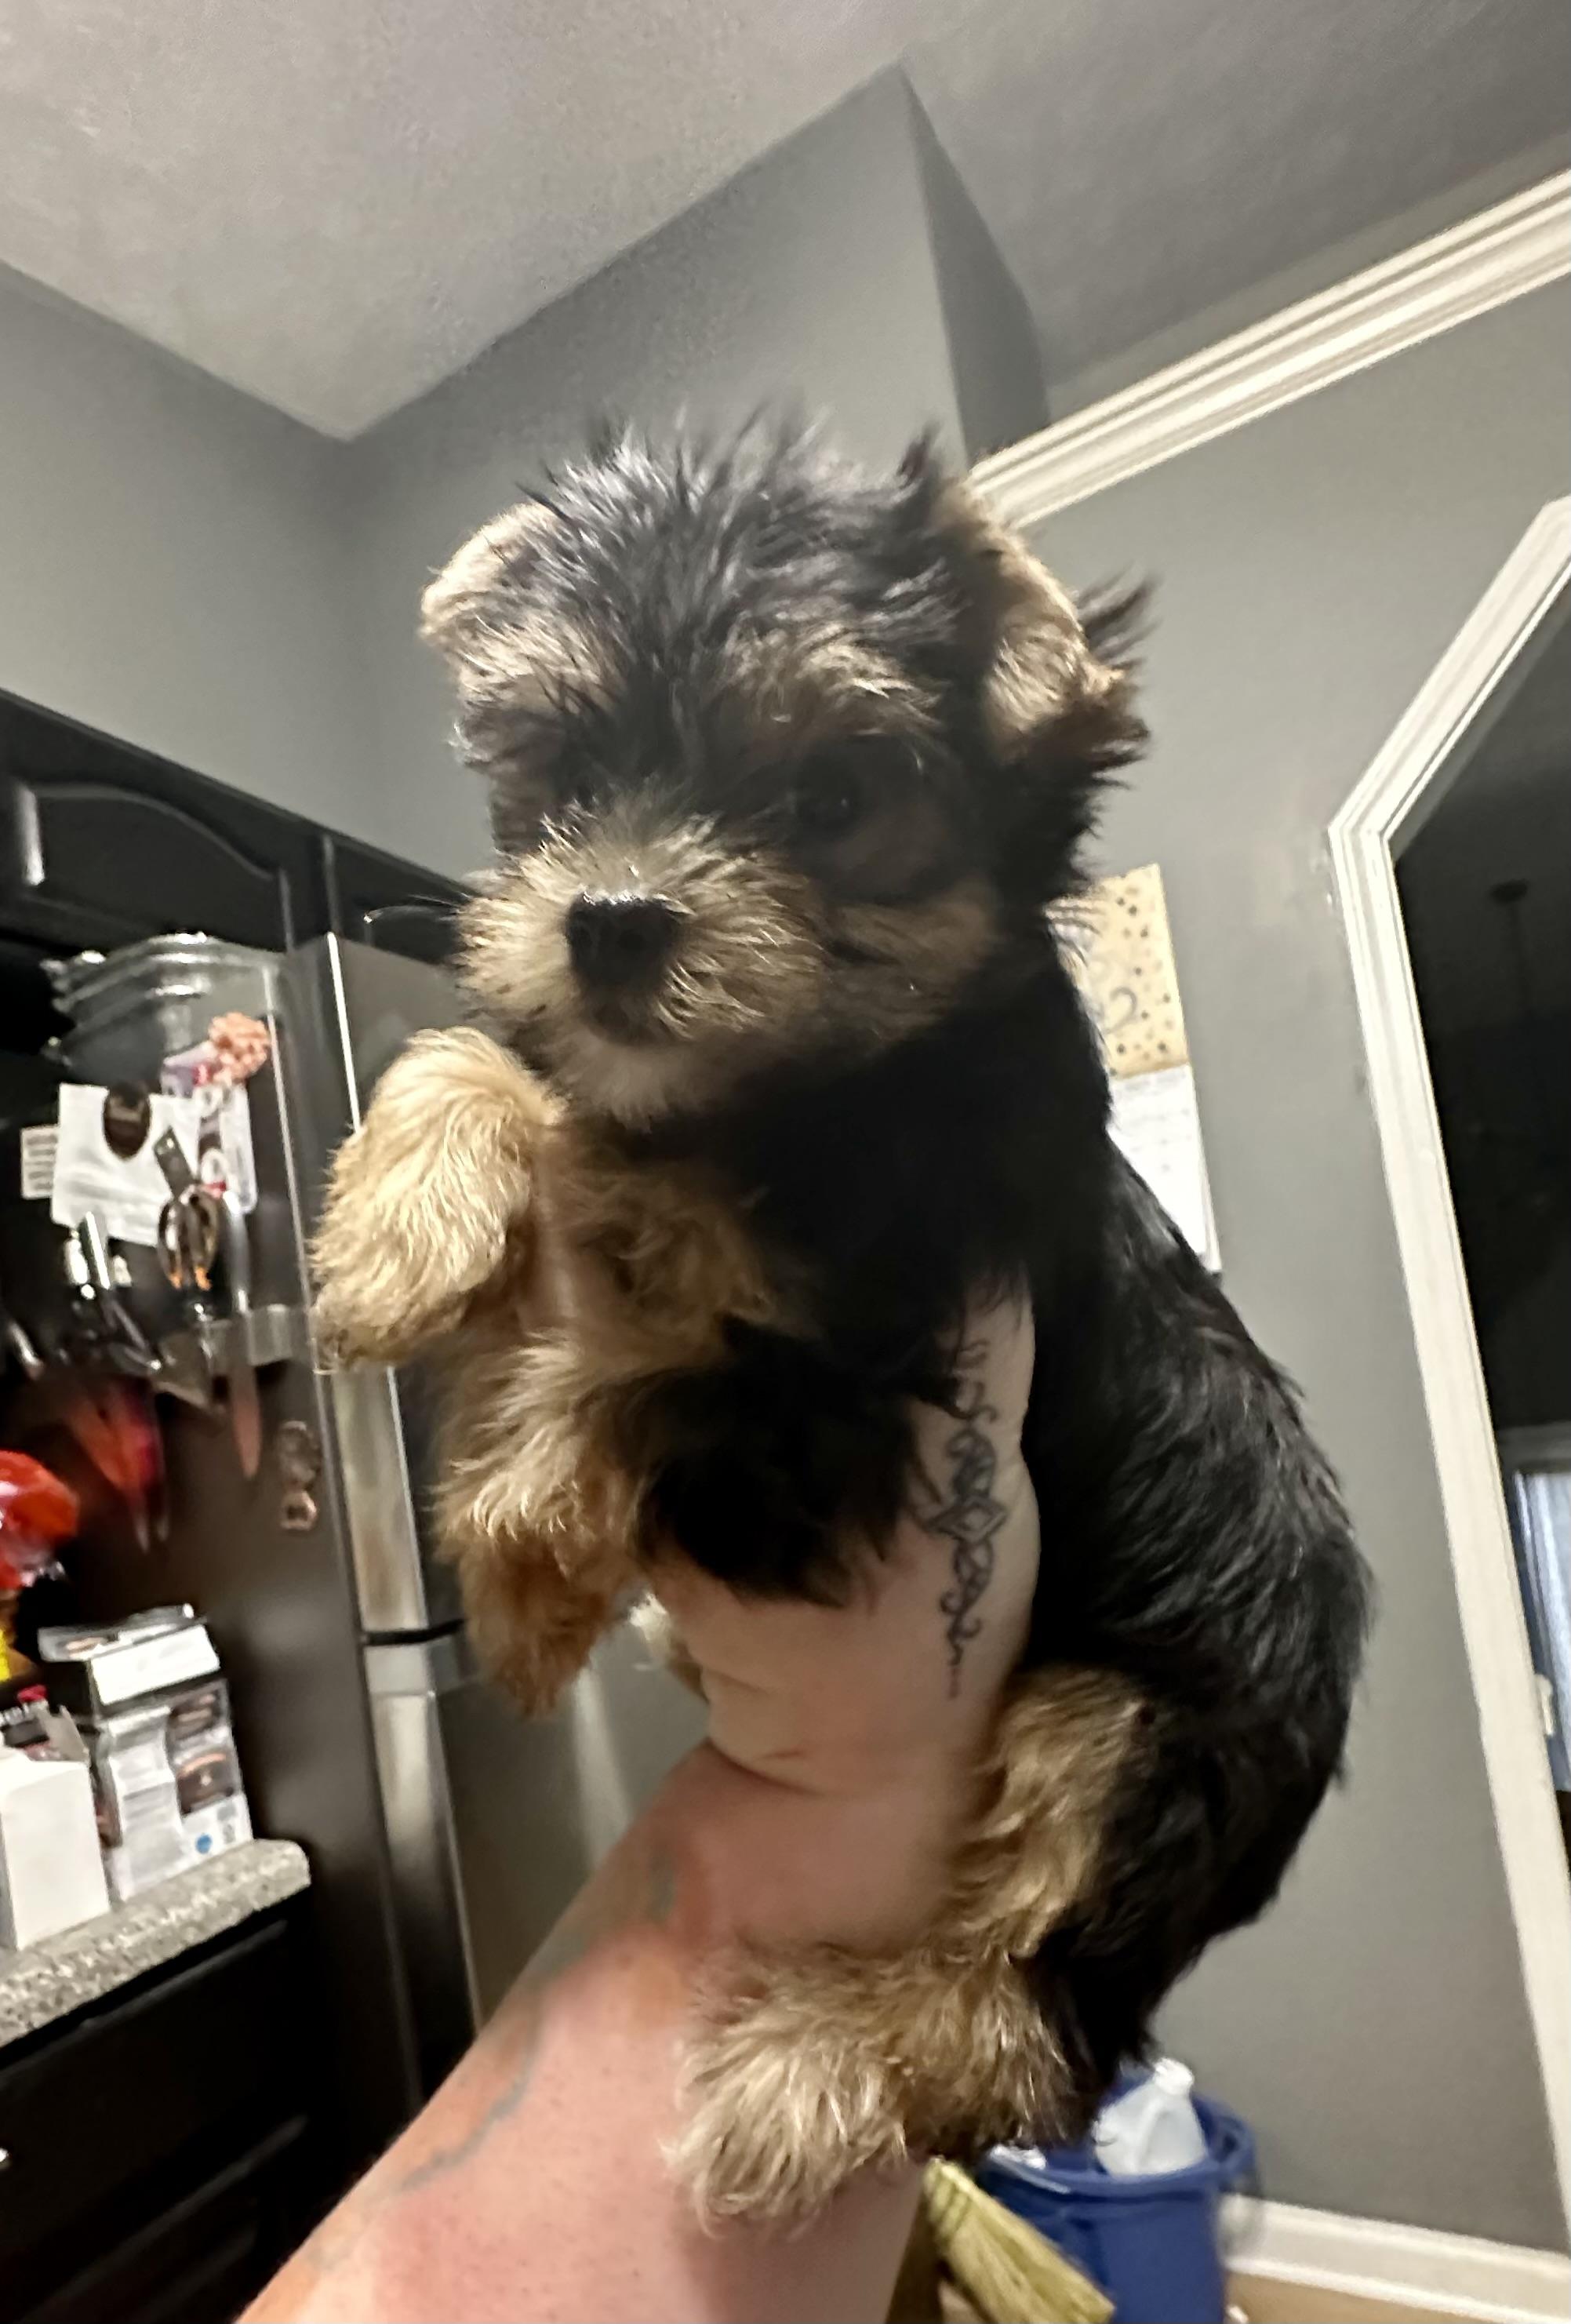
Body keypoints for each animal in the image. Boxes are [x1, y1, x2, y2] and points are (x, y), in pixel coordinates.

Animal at [313, 424, 1369, 2220]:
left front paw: (517, 1569)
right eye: (565, 774)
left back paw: (811, 2063)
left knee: (1032, 2009)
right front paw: (403, 1212)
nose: (607, 916)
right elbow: (524, 1079)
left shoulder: (868, 1393)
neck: (799, 1099)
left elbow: (651, 1380)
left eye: (831, 800)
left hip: (1140, 1727)